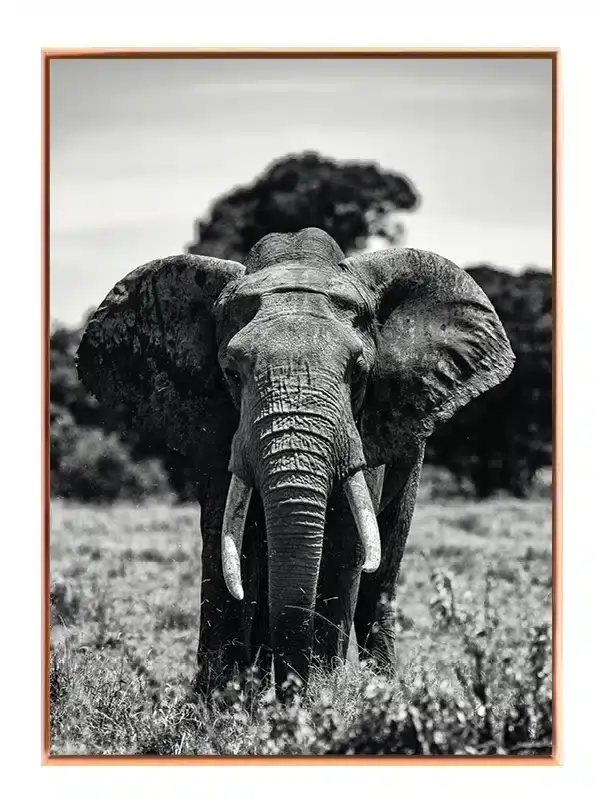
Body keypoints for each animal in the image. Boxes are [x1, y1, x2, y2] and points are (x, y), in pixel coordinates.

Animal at [76, 227, 515, 698]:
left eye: (358, 372)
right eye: (231, 374)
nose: (291, 690)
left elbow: (344, 542)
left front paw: (320, 697)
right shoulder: (220, 429)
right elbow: (226, 540)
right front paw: (221, 699)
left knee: (384, 566)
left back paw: (381, 687)